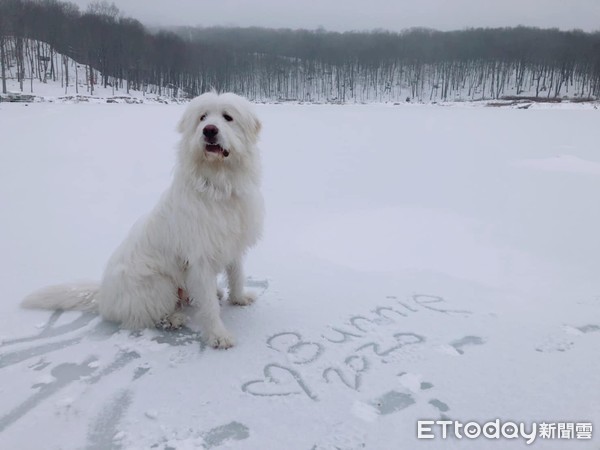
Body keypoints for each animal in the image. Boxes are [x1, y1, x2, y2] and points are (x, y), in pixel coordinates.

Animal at [22, 93, 264, 350]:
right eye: (202, 117)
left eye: (228, 117)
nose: (209, 130)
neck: (218, 185)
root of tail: (104, 296)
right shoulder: (200, 259)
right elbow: (208, 305)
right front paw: (218, 335)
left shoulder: (233, 244)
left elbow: (236, 274)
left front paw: (239, 298)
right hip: (159, 285)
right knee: (142, 317)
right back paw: (173, 319)